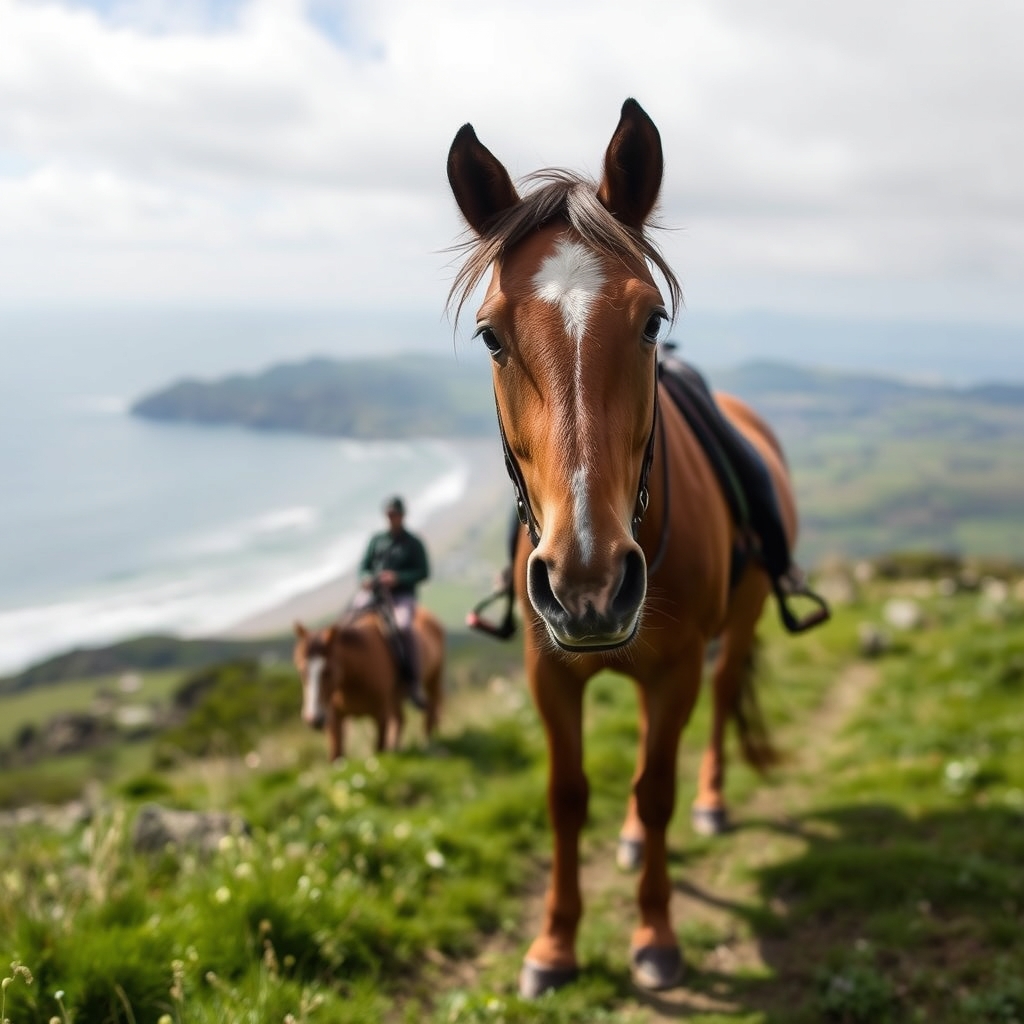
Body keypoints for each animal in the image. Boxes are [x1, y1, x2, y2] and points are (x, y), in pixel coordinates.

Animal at [292, 605, 444, 761]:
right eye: (301, 671)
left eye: (328, 671)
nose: (314, 719)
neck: (353, 680)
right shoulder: (334, 718)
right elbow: (336, 755)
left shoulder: (381, 714)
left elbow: (379, 750)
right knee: (401, 719)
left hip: (434, 678)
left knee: (431, 707)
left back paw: (428, 743)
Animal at [447, 99, 825, 996]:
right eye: (491, 337)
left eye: (652, 320)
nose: (587, 581)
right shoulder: (549, 672)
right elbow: (567, 794)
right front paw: (554, 944)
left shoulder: (677, 665)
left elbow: (657, 789)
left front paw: (655, 936)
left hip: (737, 624)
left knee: (721, 701)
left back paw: (713, 802)